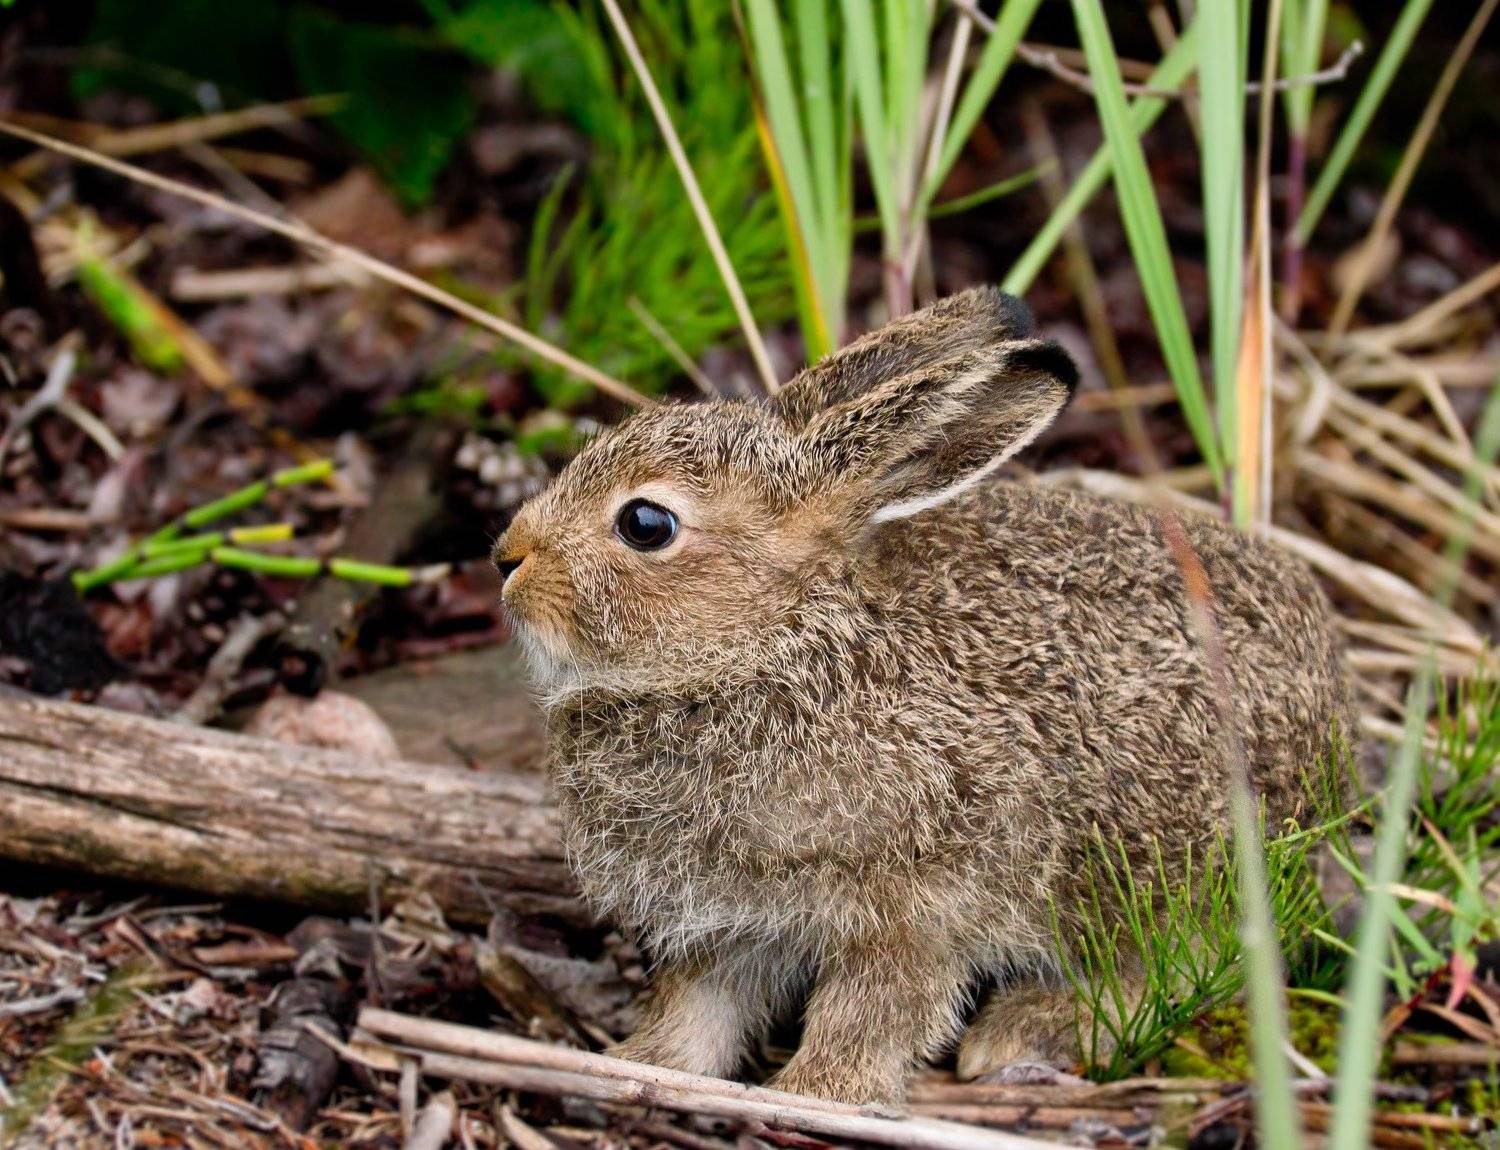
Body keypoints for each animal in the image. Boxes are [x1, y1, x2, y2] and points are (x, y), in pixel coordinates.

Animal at [493, 287, 1353, 1104]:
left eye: (645, 523)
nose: (507, 557)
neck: (781, 640)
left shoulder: (914, 910)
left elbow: (873, 1010)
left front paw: (821, 1092)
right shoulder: (724, 921)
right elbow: (698, 1006)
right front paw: (642, 1063)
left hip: (1161, 870)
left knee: (1186, 965)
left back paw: (1018, 1034)